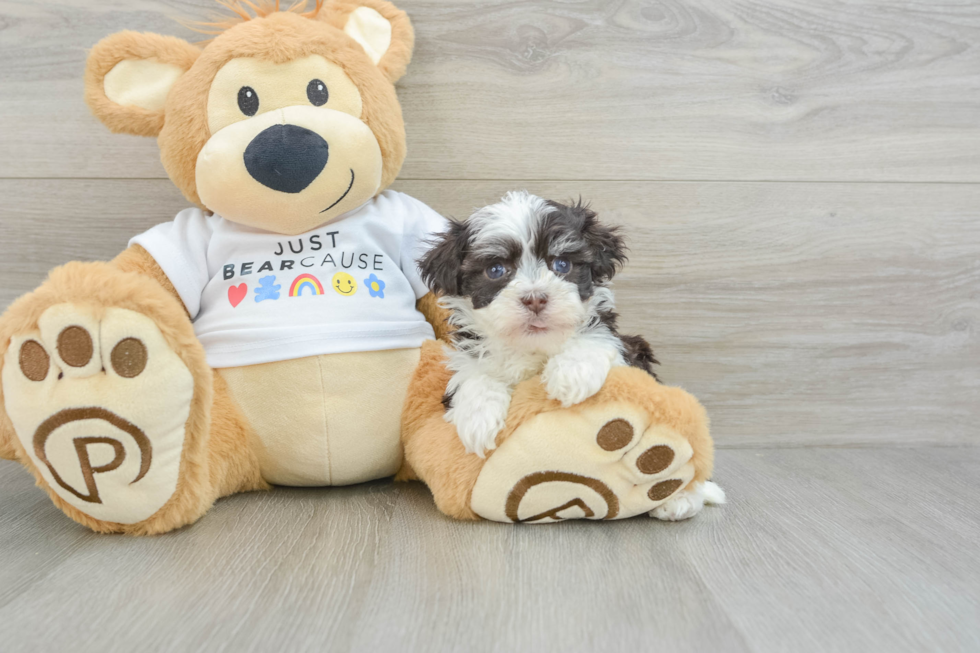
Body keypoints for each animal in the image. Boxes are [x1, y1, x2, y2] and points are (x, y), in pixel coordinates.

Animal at [416, 192, 660, 458]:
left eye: (562, 264)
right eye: (495, 270)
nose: (534, 299)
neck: (532, 347)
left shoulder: (630, 353)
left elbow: (598, 335)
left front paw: (572, 371)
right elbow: (471, 372)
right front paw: (478, 417)